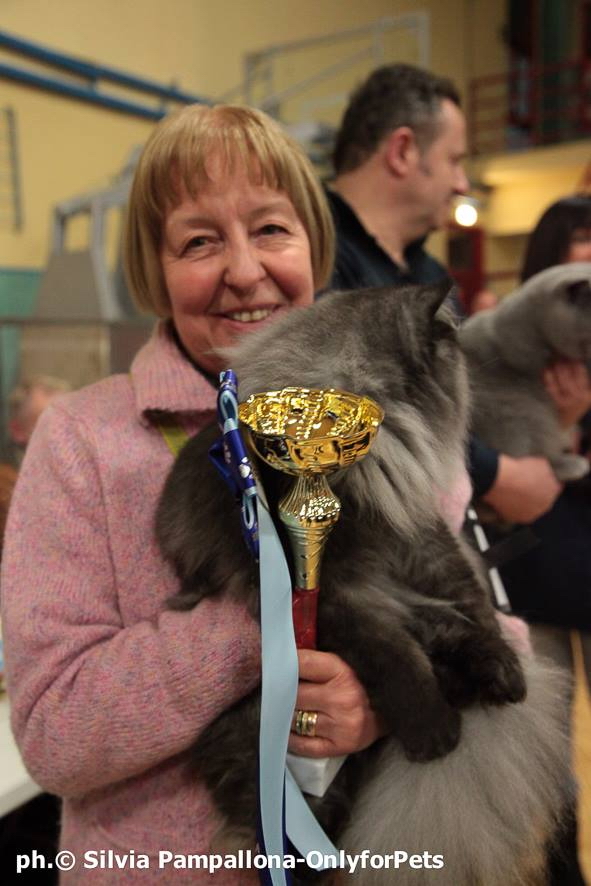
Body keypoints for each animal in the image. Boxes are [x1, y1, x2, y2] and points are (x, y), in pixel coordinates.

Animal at [156, 283, 570, 885]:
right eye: (452, 346)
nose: (470, 357)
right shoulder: (335, 592)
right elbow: (394, 657)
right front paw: (434, 732)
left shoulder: (422, 541)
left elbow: (476, 605)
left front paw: (506, 670)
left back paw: (489, 680)